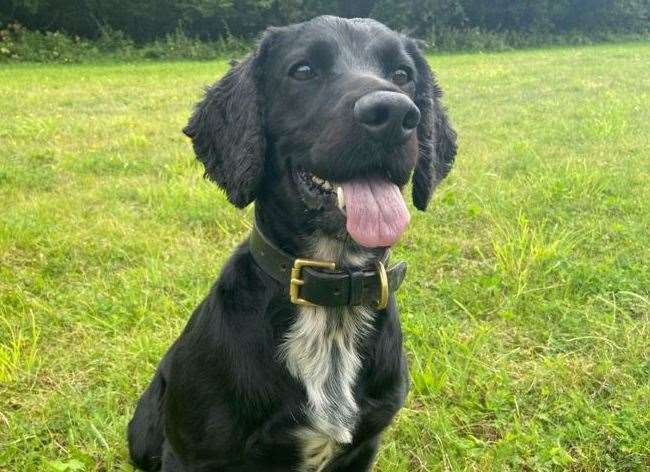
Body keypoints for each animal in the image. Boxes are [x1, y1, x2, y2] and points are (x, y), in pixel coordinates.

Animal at [128, 15, 456, 472]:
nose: (393, 114)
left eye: (402, 74)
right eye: (303, 70)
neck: (331, 300)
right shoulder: (192, 453)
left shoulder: (364, 445)